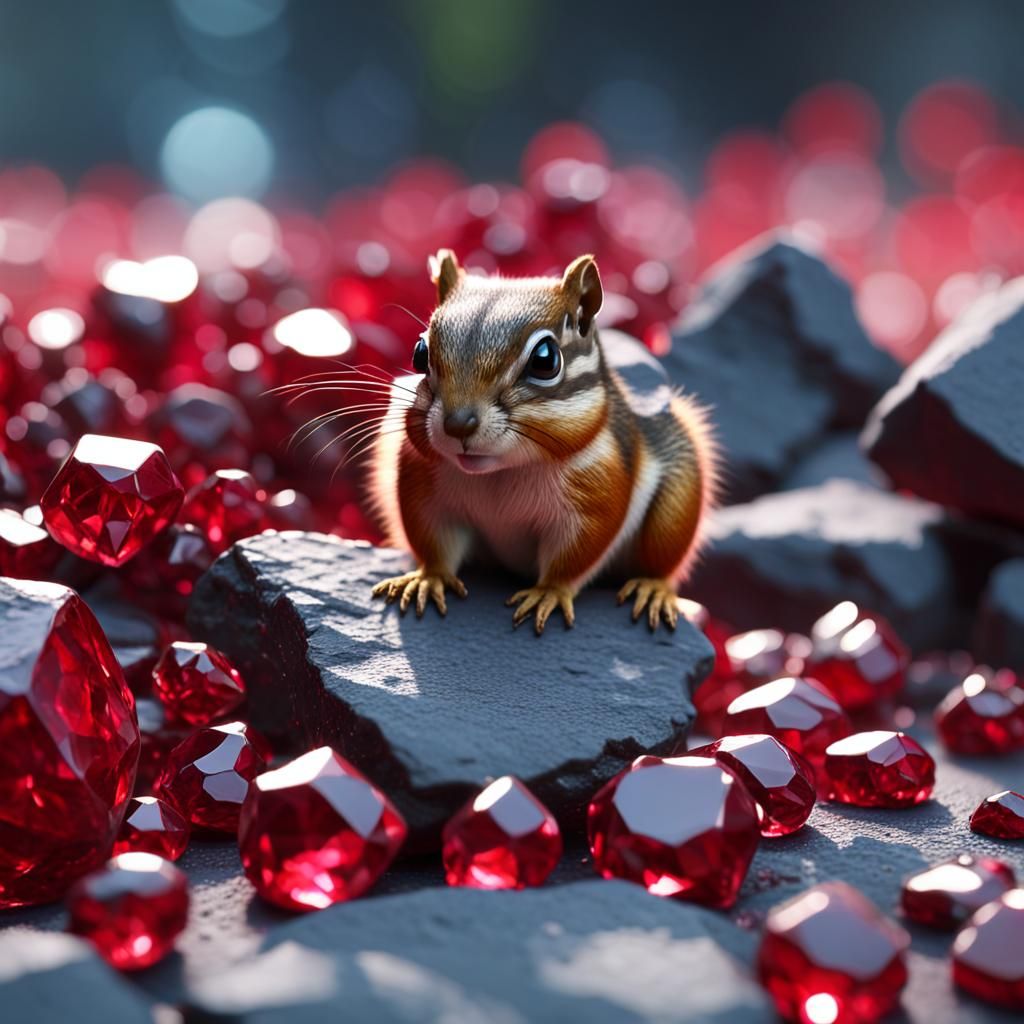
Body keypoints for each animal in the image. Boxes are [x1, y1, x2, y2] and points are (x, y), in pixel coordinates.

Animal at [368, 249, 717, 634]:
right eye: (419, 353)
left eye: (545, 359)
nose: (458, 424)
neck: (498, 473)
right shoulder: (425, 491)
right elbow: (434, 544)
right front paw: (428, 579)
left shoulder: (593, 501)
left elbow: (573, 557)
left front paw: (548, 593)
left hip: (675, 511)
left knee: (662, 562)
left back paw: (652, 588)